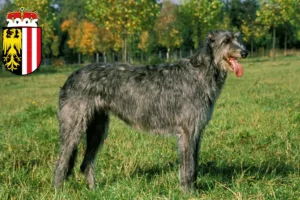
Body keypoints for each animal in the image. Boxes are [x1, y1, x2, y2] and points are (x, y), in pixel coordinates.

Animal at [54, 30, 248, 191]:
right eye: (226, 41)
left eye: (237, 38)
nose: (245, 52)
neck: (200, 73)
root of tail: (70, 78)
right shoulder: (187, 131)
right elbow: (188, 166)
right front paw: (189, 192)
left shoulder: (197, 131)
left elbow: (194, 164)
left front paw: (194, 189)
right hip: (74, 125)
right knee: (61, 162)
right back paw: (59, 191)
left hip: (98, 128)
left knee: (85, 163)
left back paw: (94, 191)